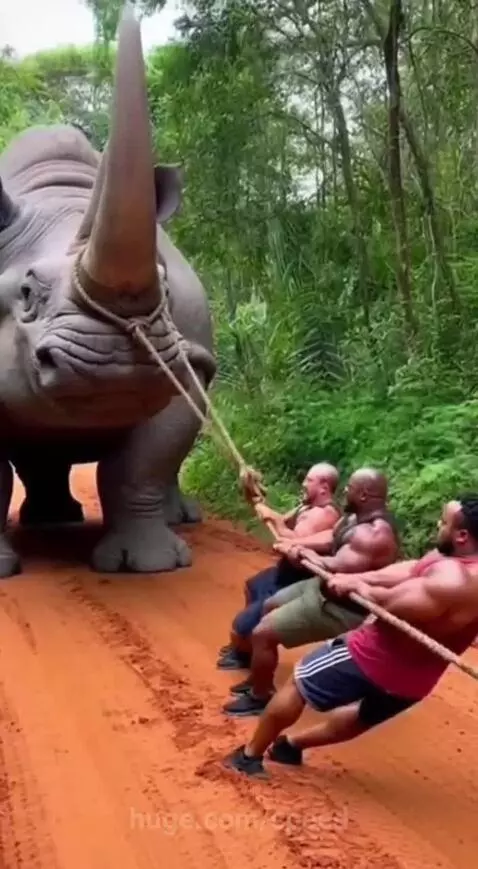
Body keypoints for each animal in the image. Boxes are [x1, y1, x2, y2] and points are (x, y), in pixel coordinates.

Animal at [0, 4, 216, 577]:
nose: (115, 364)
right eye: (25, 293)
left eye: (164, 287)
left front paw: (150, 567)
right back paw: (52, 523)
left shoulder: (188, 357)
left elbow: (140, 465)